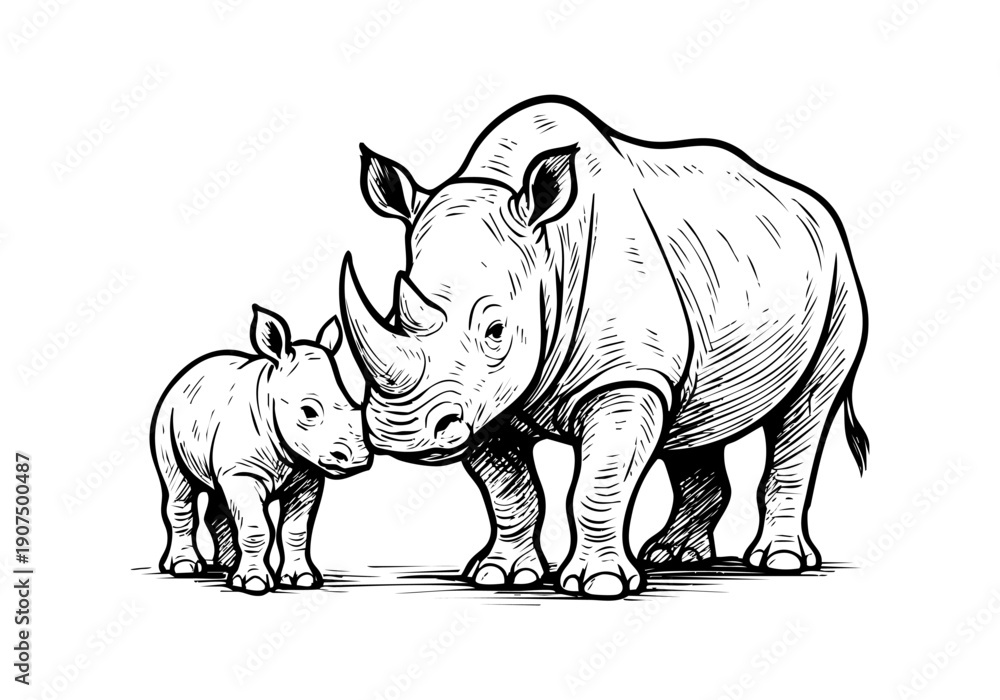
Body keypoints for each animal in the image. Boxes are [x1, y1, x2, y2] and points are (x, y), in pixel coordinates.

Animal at [342, 96, 869, 598]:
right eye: (394, 314)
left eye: (496, 331)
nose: (401, 434)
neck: (550, 254)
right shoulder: (486, 399)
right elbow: (510, 489)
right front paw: (500, 575)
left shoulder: (628, 375)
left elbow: (599, 484)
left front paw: (598, 585)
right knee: (696, 428)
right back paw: (673, 556)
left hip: (840, 280)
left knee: (805, 412)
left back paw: (778, 562)